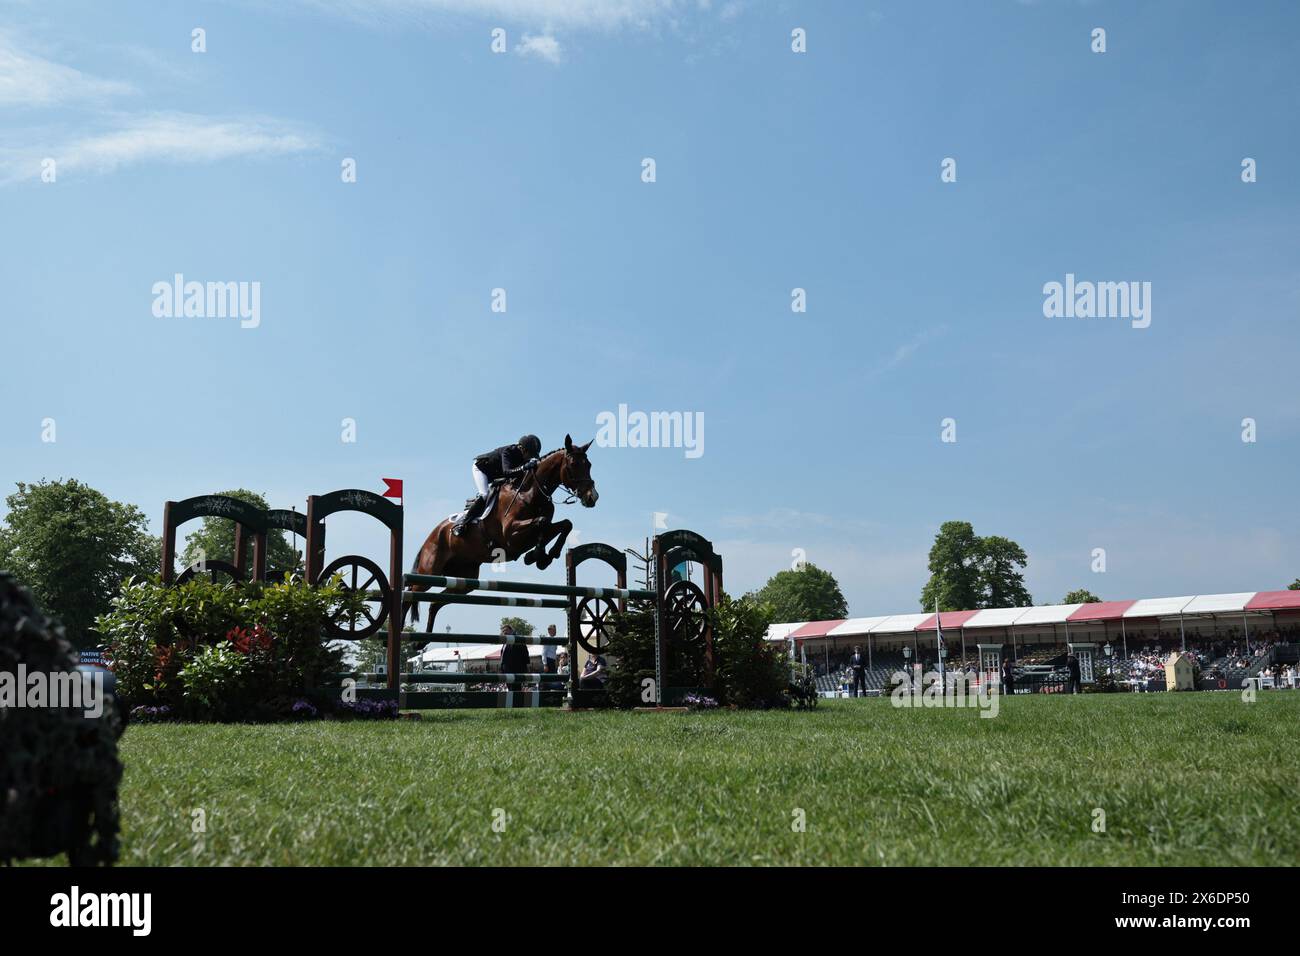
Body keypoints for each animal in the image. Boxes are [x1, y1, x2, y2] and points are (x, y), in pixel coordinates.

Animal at [403, 434, 600, 634]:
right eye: (574, 464)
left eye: (589, 464)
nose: (592, 497)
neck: (529, 492)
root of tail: (432, 536)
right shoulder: (511, 535)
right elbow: (542, 522)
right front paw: (538, 555)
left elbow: (563, 525)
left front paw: (543, 556)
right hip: (428, 573)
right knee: (410, 595)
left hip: (465, 580)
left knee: (435, 603)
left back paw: (424, 639)